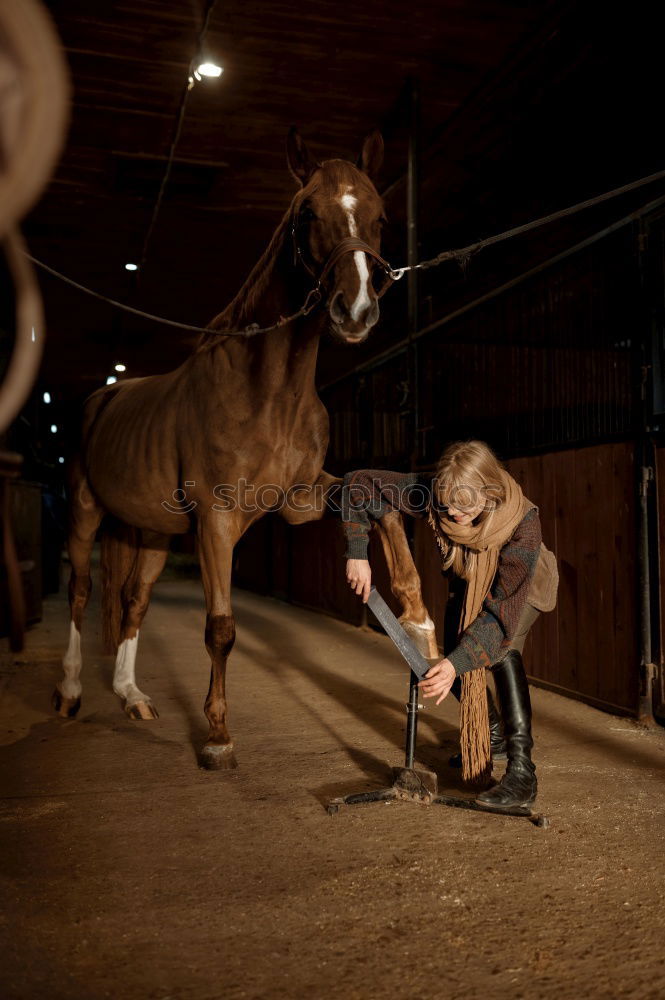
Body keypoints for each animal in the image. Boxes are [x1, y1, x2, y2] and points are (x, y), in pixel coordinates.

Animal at [53, 129, 436, 768]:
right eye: (307, 213)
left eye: (381, 217)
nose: (355, 310)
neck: (268, 390)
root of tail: (101, 399)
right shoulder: (218, 519)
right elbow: (221, 627)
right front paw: (217, 736)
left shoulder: (299, 499)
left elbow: (368, 494)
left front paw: (418, 620)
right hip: (85, 514)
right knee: (81, 592)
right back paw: (70, 691)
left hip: (151, 531)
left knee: (133, 599)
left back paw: (132, 696)